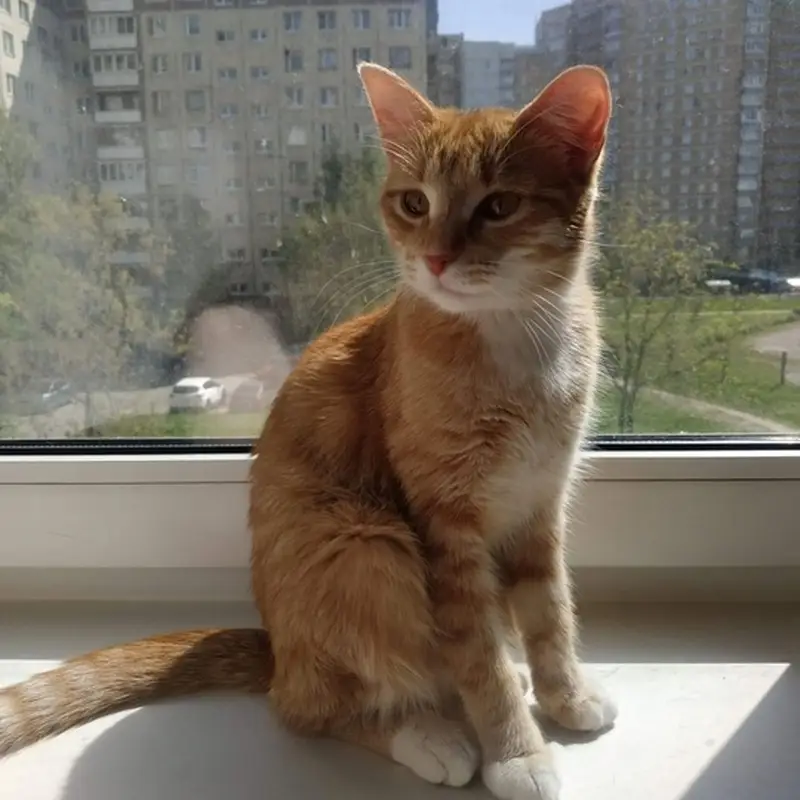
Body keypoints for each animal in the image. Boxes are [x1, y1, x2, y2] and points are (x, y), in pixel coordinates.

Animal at [0, 62, 616, 800]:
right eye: (415, 203)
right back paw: (428, 735)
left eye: (499, 207)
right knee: (310, 706)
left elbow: (551, 616)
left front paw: (564, 695)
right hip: (365, 547)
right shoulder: (447, 533)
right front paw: (517, 751)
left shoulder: (540, 510)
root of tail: (278, 650)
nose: (436, 259)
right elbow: (479, 656)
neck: (514, 343)